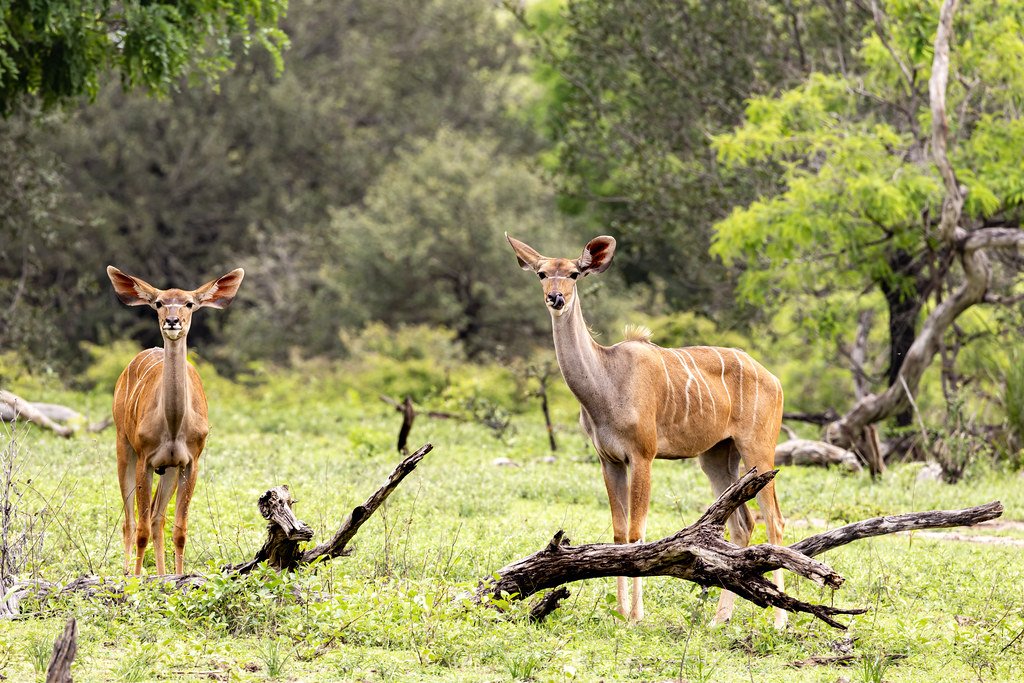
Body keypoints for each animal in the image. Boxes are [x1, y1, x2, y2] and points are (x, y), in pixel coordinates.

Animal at [106, 264, 243, 573]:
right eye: (158, 303)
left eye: (189, 303)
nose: (172, 321)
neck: (173, 426)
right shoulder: (145, 459)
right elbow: (141, 528)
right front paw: (136, 580)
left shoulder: (189, 462)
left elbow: (179, 529)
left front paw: (178, 578)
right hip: (123, 445)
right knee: (130, 522)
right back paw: (126, 574)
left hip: (167, 468)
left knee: (158, 518)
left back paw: (161, 575)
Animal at [507, 233, 786, 626]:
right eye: (542, 273)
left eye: (575, 273)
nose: (556, 298)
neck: (607, 381)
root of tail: (773, 378)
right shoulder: (609, 460)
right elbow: (619, 532)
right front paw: (622, 612)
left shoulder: (643, 456)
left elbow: (637, 533)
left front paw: (636, 616)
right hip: (717, 457)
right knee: (742, 523)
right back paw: (719, 620)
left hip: (759, 451)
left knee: (774, 521)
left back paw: (779, 621)